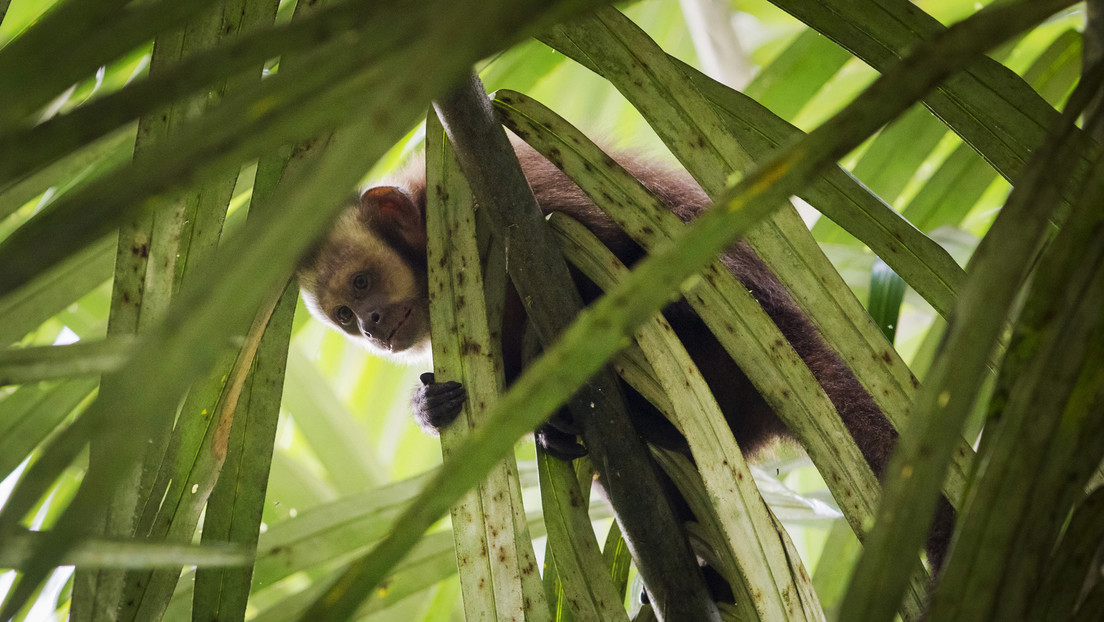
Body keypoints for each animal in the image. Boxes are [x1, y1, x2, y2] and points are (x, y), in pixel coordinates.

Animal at [298, 139, 953, 570]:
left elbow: (615, 251)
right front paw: (432, 405)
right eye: (344, 315)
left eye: (361, 283)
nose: (371, 327)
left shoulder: (507, 190)